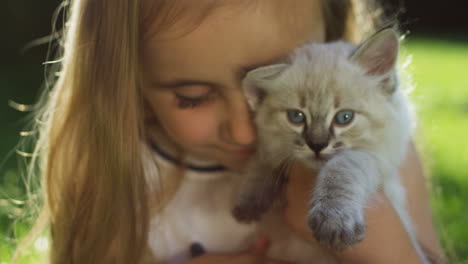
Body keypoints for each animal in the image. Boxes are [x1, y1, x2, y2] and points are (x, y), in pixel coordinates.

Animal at [232, 29, 426, 262]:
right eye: (296, 117)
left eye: (344, 117)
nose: (317, 145)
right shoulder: (271, 147)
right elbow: (264, 159)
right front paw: (250, 200)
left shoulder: (377, 158)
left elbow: (342, 167)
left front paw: (334, 219)